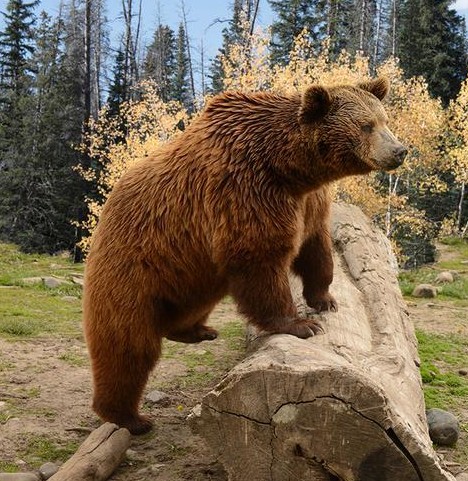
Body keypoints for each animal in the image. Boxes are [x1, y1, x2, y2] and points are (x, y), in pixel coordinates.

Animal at [83, 77, 406, 434]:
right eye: (366, 125)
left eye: (384, 120)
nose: (399, 150)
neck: (289, 169)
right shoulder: (246, 191)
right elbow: (260, 261)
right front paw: (301, 324)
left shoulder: (308, 202)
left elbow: (316, 249)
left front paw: (325, 300)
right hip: (134, 266)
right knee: (128, 347)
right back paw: (130, 417)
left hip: (189, 272)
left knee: (190, 305)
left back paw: (196, 331)